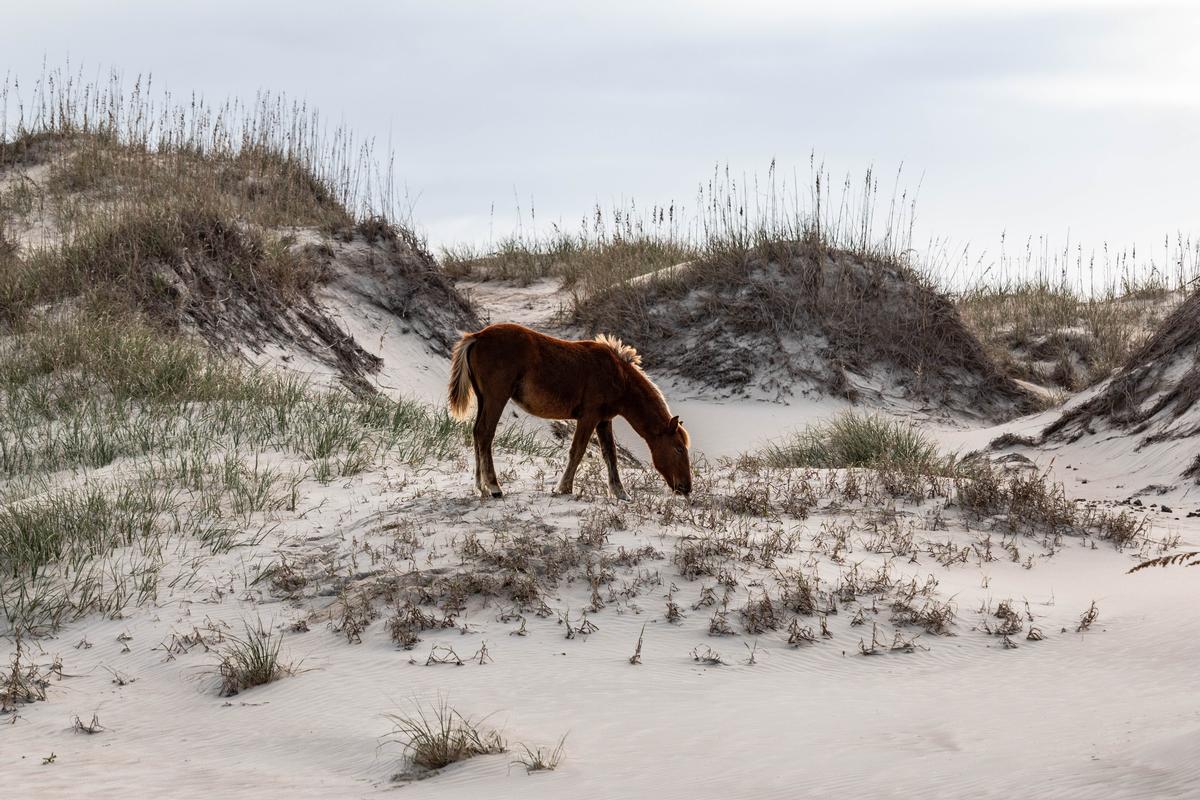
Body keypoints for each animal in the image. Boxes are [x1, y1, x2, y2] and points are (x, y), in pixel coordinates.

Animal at [447, 323, 692, 499]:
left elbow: (610, 454)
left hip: (483, 399)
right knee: (485, 434)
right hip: (496, 397)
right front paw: (564, 487)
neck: (618, 376)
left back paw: (481, 487)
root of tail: (478, 336)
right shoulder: (589, 417)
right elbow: (578, 451)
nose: (686, 488)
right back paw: (494, 486)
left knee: (477, 433)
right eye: (679, 448)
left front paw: (620, 492)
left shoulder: (603, 420)